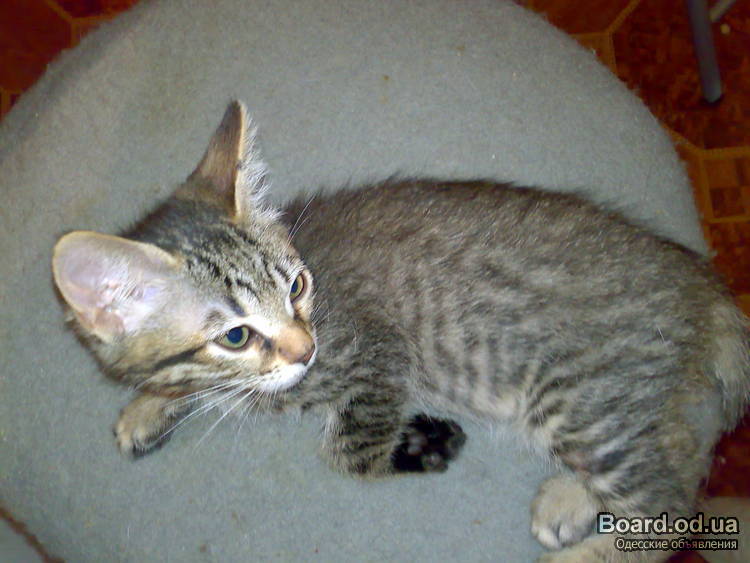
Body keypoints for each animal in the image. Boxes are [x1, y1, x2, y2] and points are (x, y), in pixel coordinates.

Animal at [52, 101, 750, 562]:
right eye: (235, 336)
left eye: (297, 287)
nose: (307, 348)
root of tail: (696, 277)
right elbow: (184, 386)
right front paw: (148, 405)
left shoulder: (376, 353)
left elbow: (348, 451)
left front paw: (417, 443)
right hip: (614, 399)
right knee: (680, 447)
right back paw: (574, 500)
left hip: (580, 399)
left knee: (672, 501)